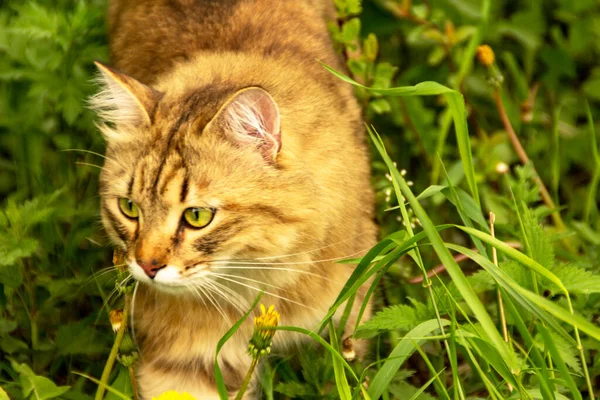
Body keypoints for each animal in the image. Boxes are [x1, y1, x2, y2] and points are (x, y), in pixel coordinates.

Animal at [90, 0, 376, 396]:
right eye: (130, 208)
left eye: (197, 216)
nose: (147, 267)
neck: (262, 282)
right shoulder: (185, 363)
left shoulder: (346, 331)